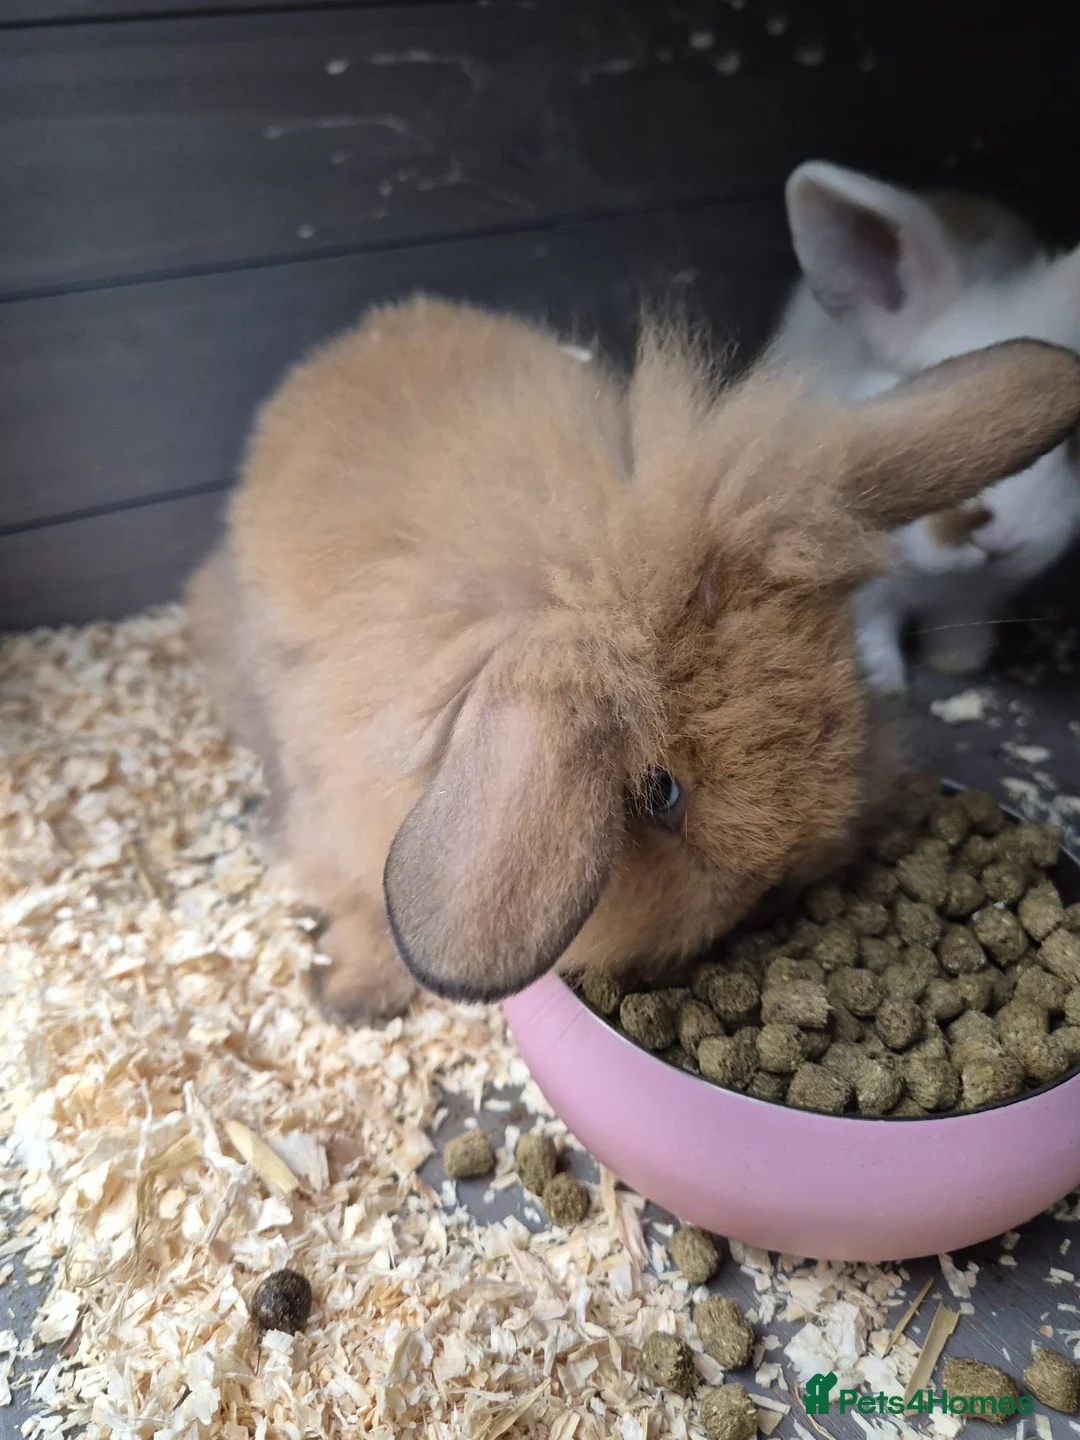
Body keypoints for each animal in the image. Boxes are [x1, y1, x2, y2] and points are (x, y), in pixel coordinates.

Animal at [768, 160, 1080, 694]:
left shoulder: (976, 600)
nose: (997, 536)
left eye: (1068, 430)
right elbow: (871, 628)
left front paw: (960, 663)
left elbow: (962, 630)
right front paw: (882, 681)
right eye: (922, 384)